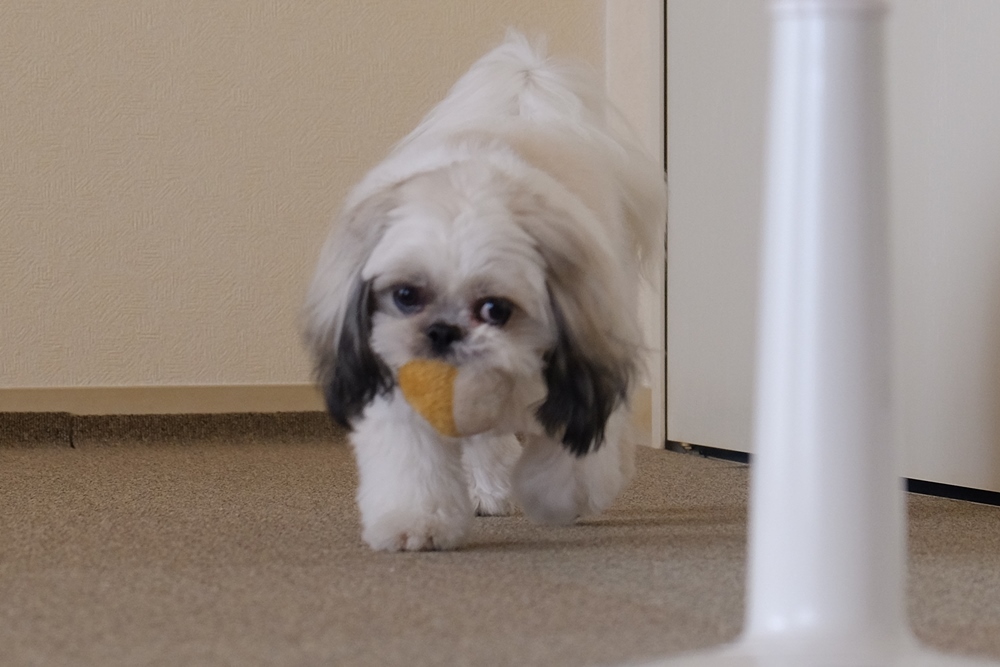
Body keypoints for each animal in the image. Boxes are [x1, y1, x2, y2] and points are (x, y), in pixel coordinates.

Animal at [300, 31, 668, 552]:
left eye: (496, 309)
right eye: (406, 296)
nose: (441, 331)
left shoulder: (579, 368)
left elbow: (567, 459)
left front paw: (560, 502)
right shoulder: (396, 386)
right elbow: (415, 464)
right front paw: (417, 522)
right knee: (484, 441)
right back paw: (489, 487)